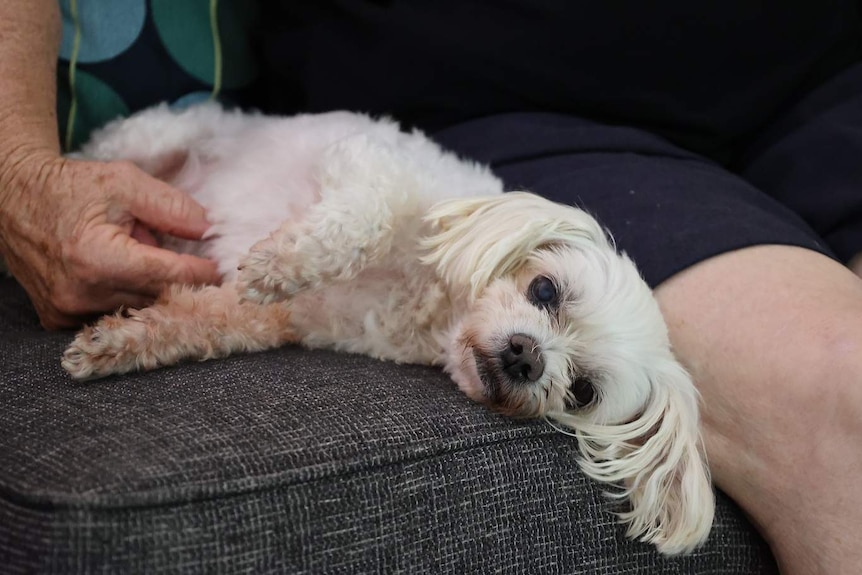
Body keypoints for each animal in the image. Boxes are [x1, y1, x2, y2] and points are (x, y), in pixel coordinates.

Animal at [59, 104, 716, 560]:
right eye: (545, 291)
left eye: (580, 392)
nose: (527, 358)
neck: (431, 308)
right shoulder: (370, 161)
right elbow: (364, 220)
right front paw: (279, 265)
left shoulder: (290, 318)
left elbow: (203, 321)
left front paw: (115, 345)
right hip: (150, 139)